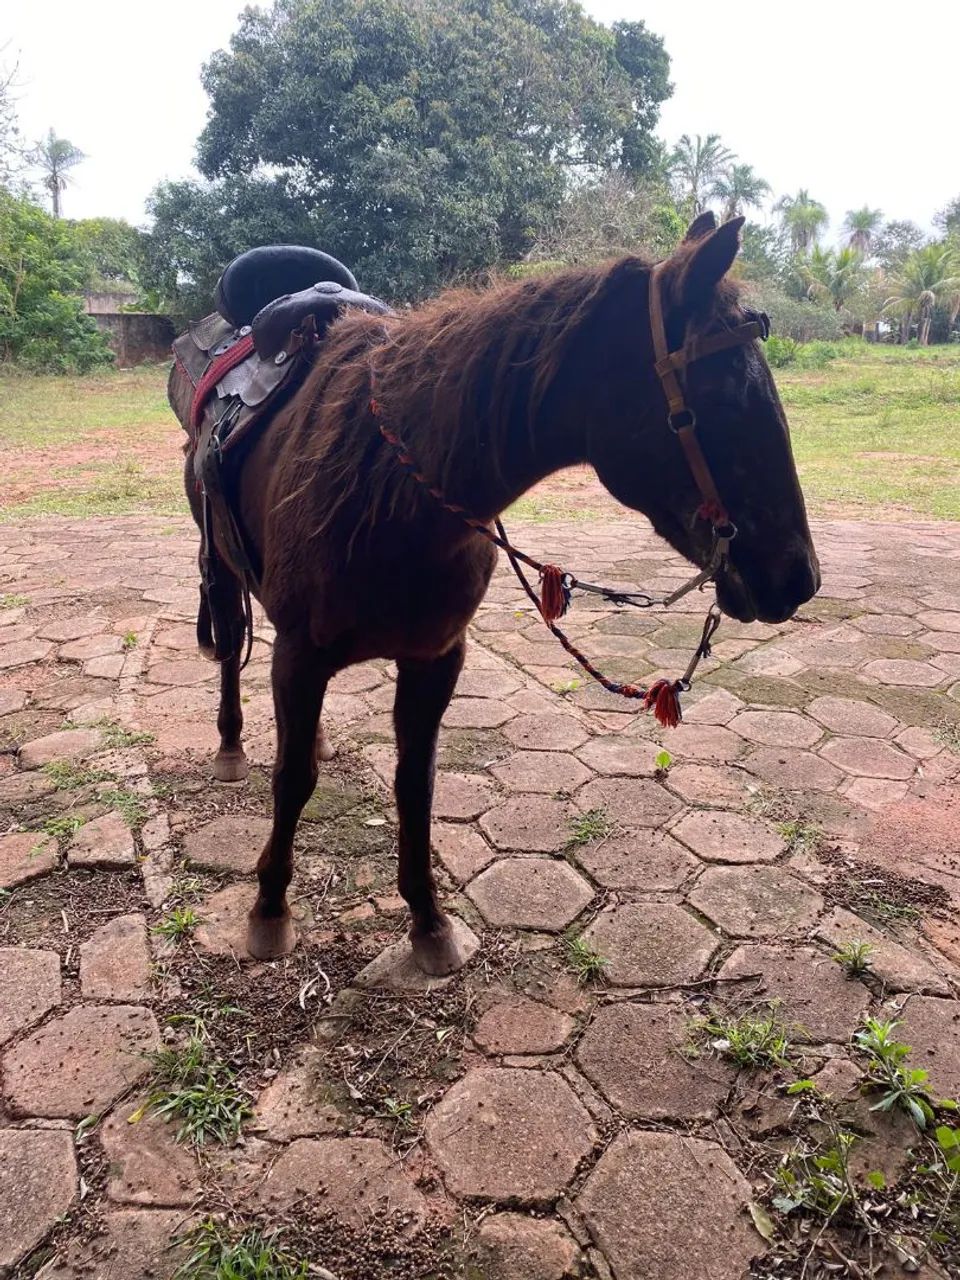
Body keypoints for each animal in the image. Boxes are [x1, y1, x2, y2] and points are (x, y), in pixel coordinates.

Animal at [167, 212, 820, 976]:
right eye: (720, 399)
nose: (799, 577)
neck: (392, 484)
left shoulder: (434, 658)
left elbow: (414, 784)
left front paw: (427, 921)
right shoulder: (302, 654)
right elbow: (291, 780)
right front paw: (269, 910)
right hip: (219, 566)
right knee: (231, 650)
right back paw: (231, 747)